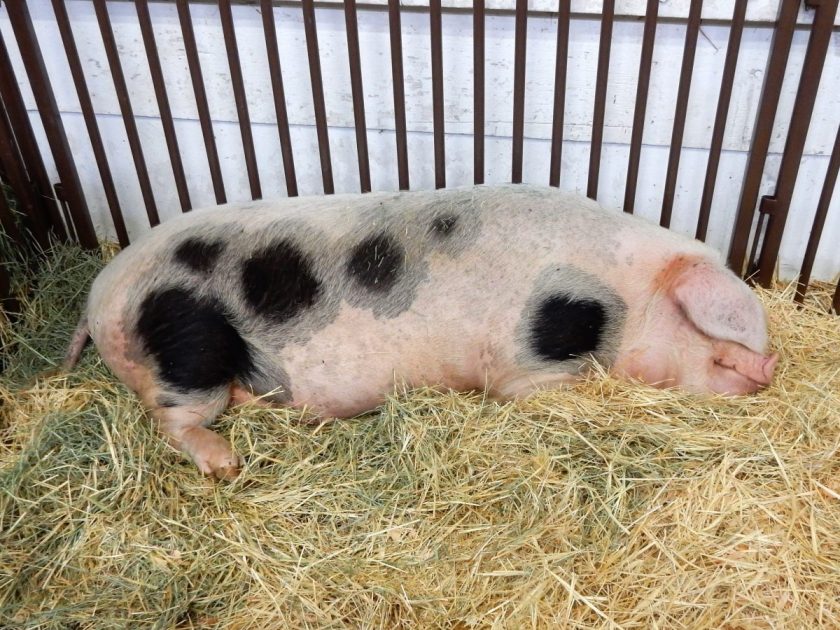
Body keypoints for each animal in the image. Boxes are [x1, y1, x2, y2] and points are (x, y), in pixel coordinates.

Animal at [64, 185, 777, 479]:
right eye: (719, 335)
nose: (770, 369)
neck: (625, 297)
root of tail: (97, 298)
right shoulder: (525, 364)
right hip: (185, 345)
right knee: (173, 416)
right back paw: (226, 465)